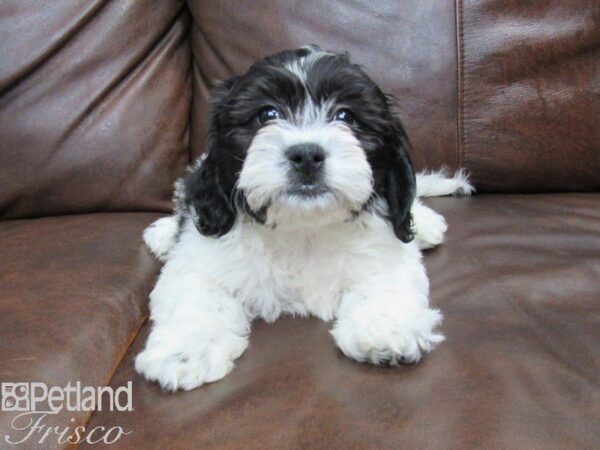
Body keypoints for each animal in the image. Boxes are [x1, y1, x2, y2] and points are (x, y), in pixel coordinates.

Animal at [134, 44, 472, 390]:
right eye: (267, 114)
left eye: (346, 116)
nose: (307, 155)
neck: (305, 228)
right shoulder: (200, 261)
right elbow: (197, 296)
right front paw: (185, 352)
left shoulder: (386, 250)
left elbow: (386, 280)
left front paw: (385, 329)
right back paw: (162, 234)